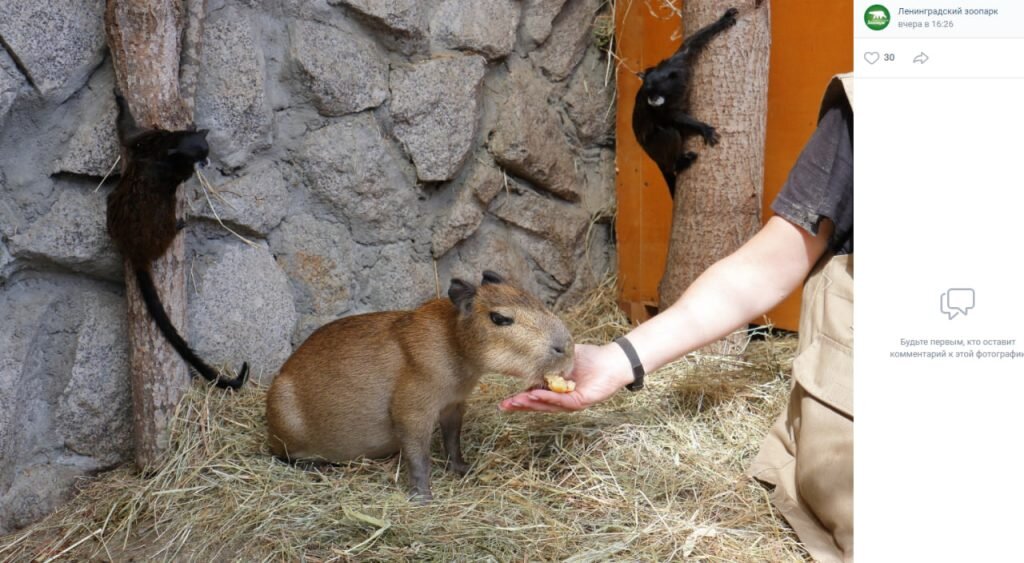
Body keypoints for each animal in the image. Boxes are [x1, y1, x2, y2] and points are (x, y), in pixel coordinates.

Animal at [107, 92, 249, 393]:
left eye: (205, 152)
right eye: (198, 158)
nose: (206, 164)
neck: (167, 147)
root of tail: (135, 249)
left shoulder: (147, 137)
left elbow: (127, 133)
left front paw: (121, 100)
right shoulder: (173, 161)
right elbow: (178, 176)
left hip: (111, 211)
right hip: (160, 229)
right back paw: (177, 226)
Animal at [630, 7, 737, 198]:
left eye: (655, 91)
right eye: (648, 93)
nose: (652, 100)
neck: (674, 88)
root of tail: (649, 154)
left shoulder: (679, 61)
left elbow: (690, 44)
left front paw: (723, 20)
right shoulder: (661, 107)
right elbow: (671, 117)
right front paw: (703, 128)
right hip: (653, 146)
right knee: (670, 134)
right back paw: (677, 164)